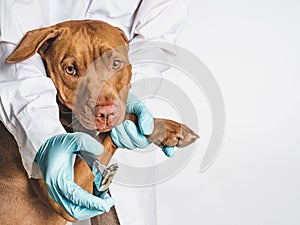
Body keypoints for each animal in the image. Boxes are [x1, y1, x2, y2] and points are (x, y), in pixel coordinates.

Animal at [0, 20, 199, 224]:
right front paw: (167, 129)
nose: (105, 113)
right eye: (70, 70)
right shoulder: (68, 192)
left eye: (116, 63)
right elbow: (116, 127)